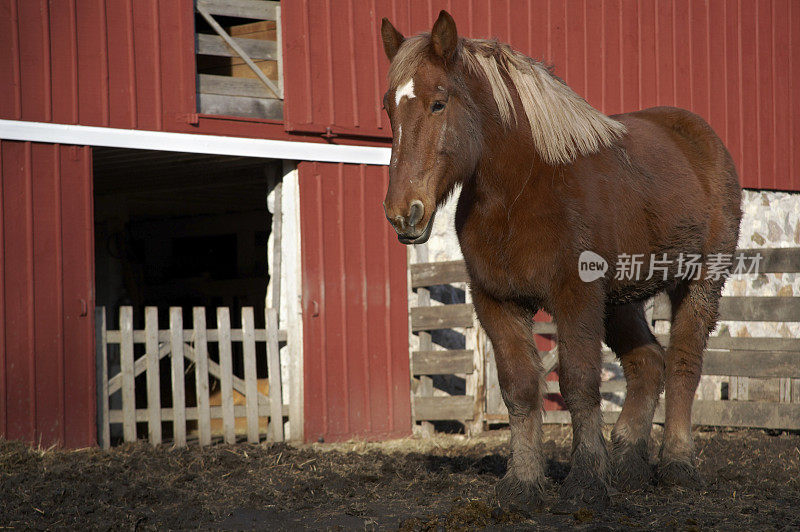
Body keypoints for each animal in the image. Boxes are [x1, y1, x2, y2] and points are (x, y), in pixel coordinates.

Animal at [382, 11, 744, 512]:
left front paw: (587, 480)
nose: (404, 213)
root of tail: (701, 138)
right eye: (388, 109)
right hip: (621, 298)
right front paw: (523, 482)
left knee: (684, 365)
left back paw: (676, 465)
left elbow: (578, 383)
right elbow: (519, 387)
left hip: (700, 282)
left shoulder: (577, 296)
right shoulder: (497, 302)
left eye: (438, 104)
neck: (521, 191)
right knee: (647, 363)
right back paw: (628, 466)